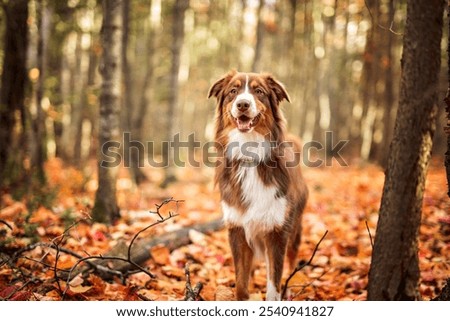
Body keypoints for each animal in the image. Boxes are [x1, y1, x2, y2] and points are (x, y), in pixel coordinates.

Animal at [208, 70, 308, 300]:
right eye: (233, 91)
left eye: (259, 91)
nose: (243, 104)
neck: (249, 155)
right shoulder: (237, 229)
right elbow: (241, 283)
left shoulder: (278, 231)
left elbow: (274, 282)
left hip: (295, 227)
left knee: (291, 261)